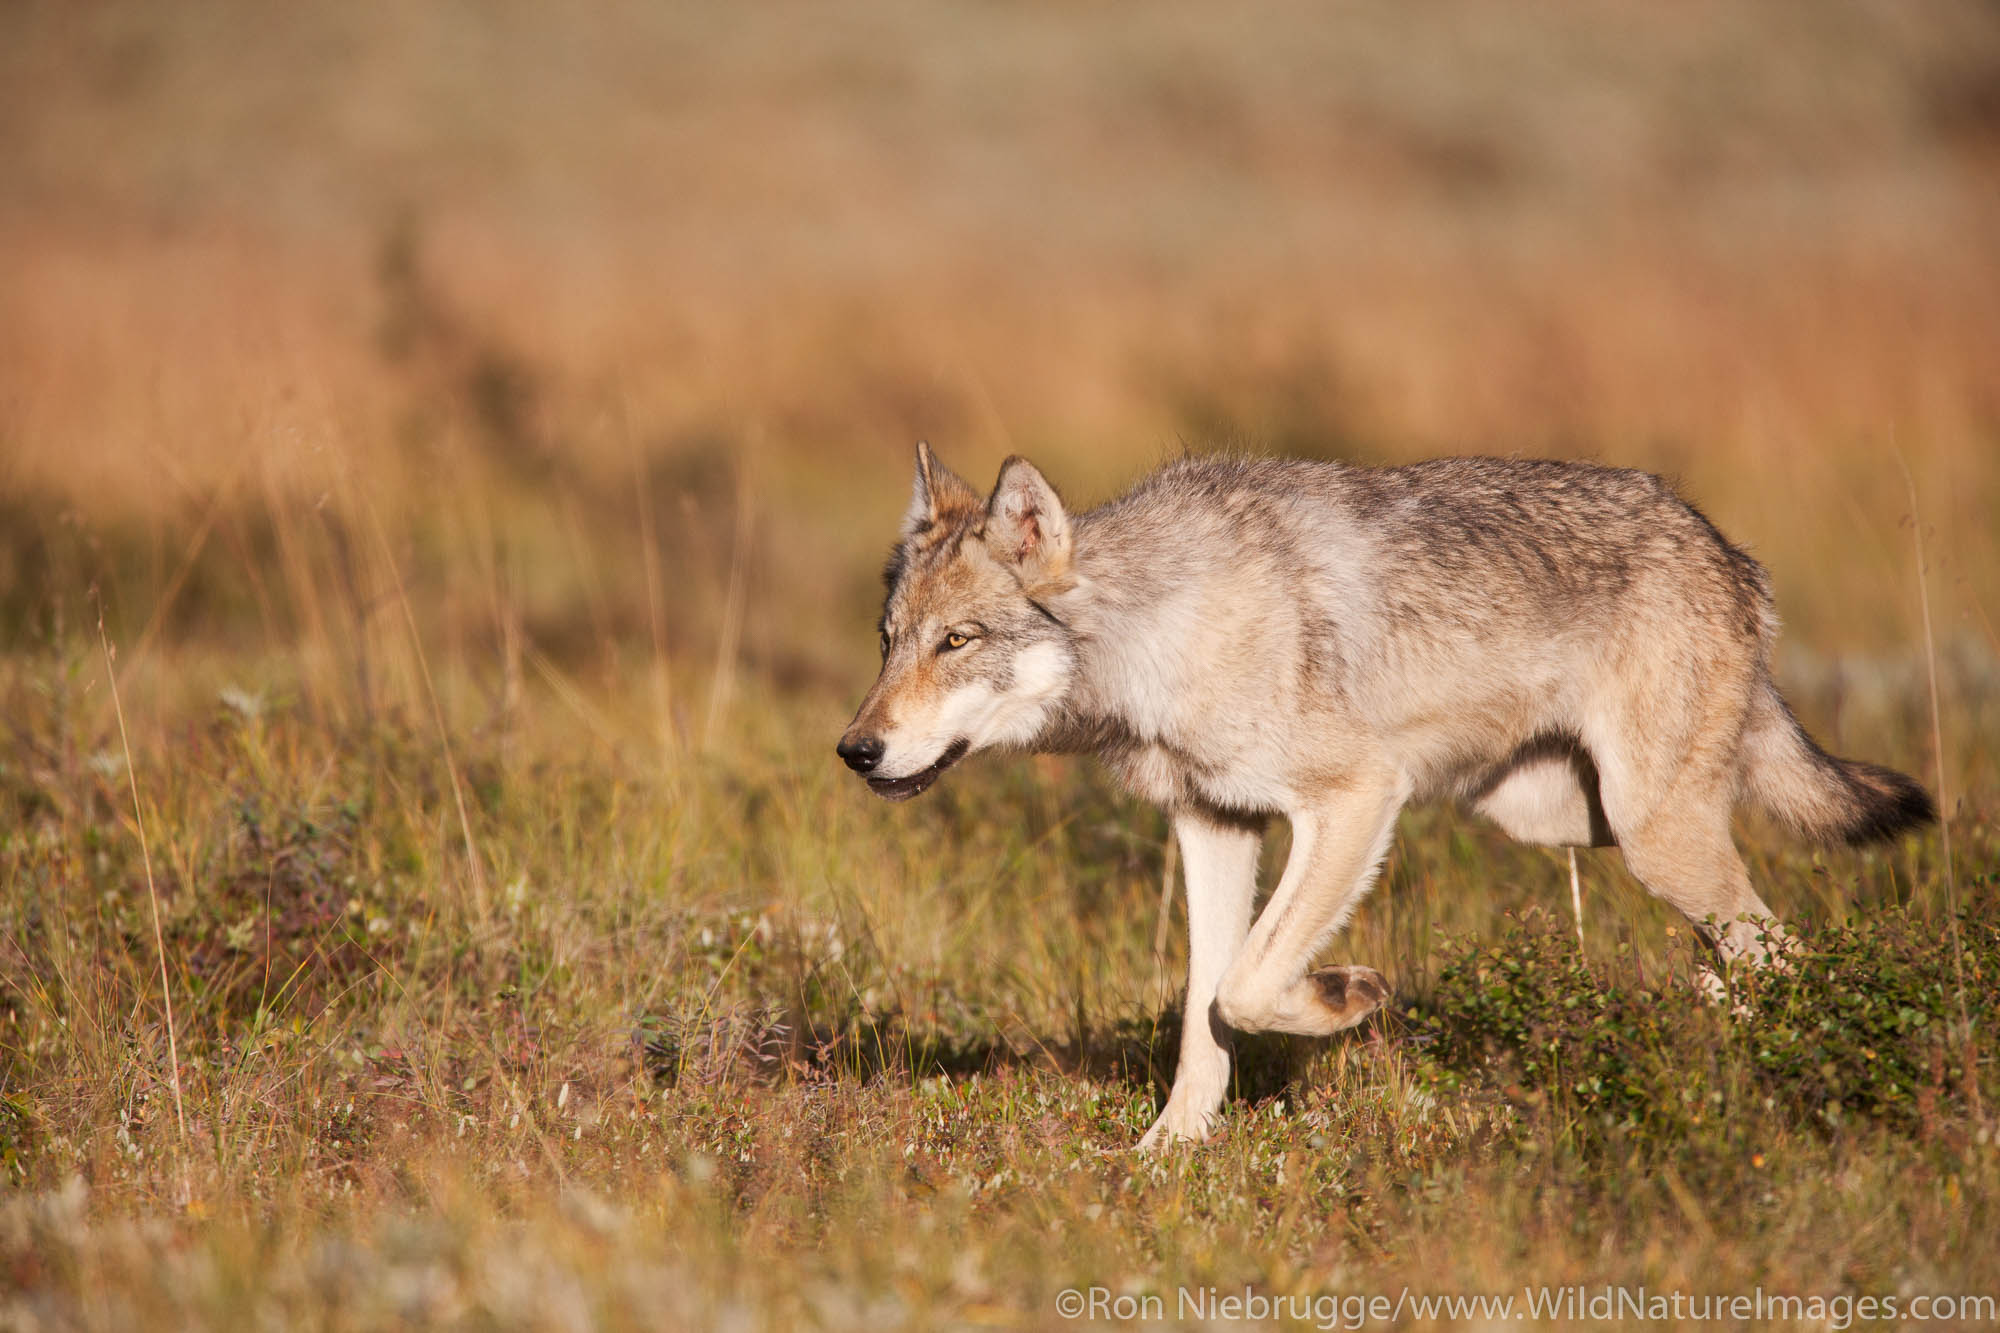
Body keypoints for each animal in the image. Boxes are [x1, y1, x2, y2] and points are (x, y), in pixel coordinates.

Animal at [832, 444, 1936, 1144]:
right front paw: (1165, 1156)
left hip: (1647, 832)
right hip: (1564, 820)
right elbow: (1201, 1013)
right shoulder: (1211, 823)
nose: (855, 750)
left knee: (1781, 949)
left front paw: (1346, 996)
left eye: (956, 641)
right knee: (1743, 949)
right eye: (887, 640)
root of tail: (1729, 553)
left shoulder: (1356, 797)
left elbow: (1245, 985)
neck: (1161, 630)